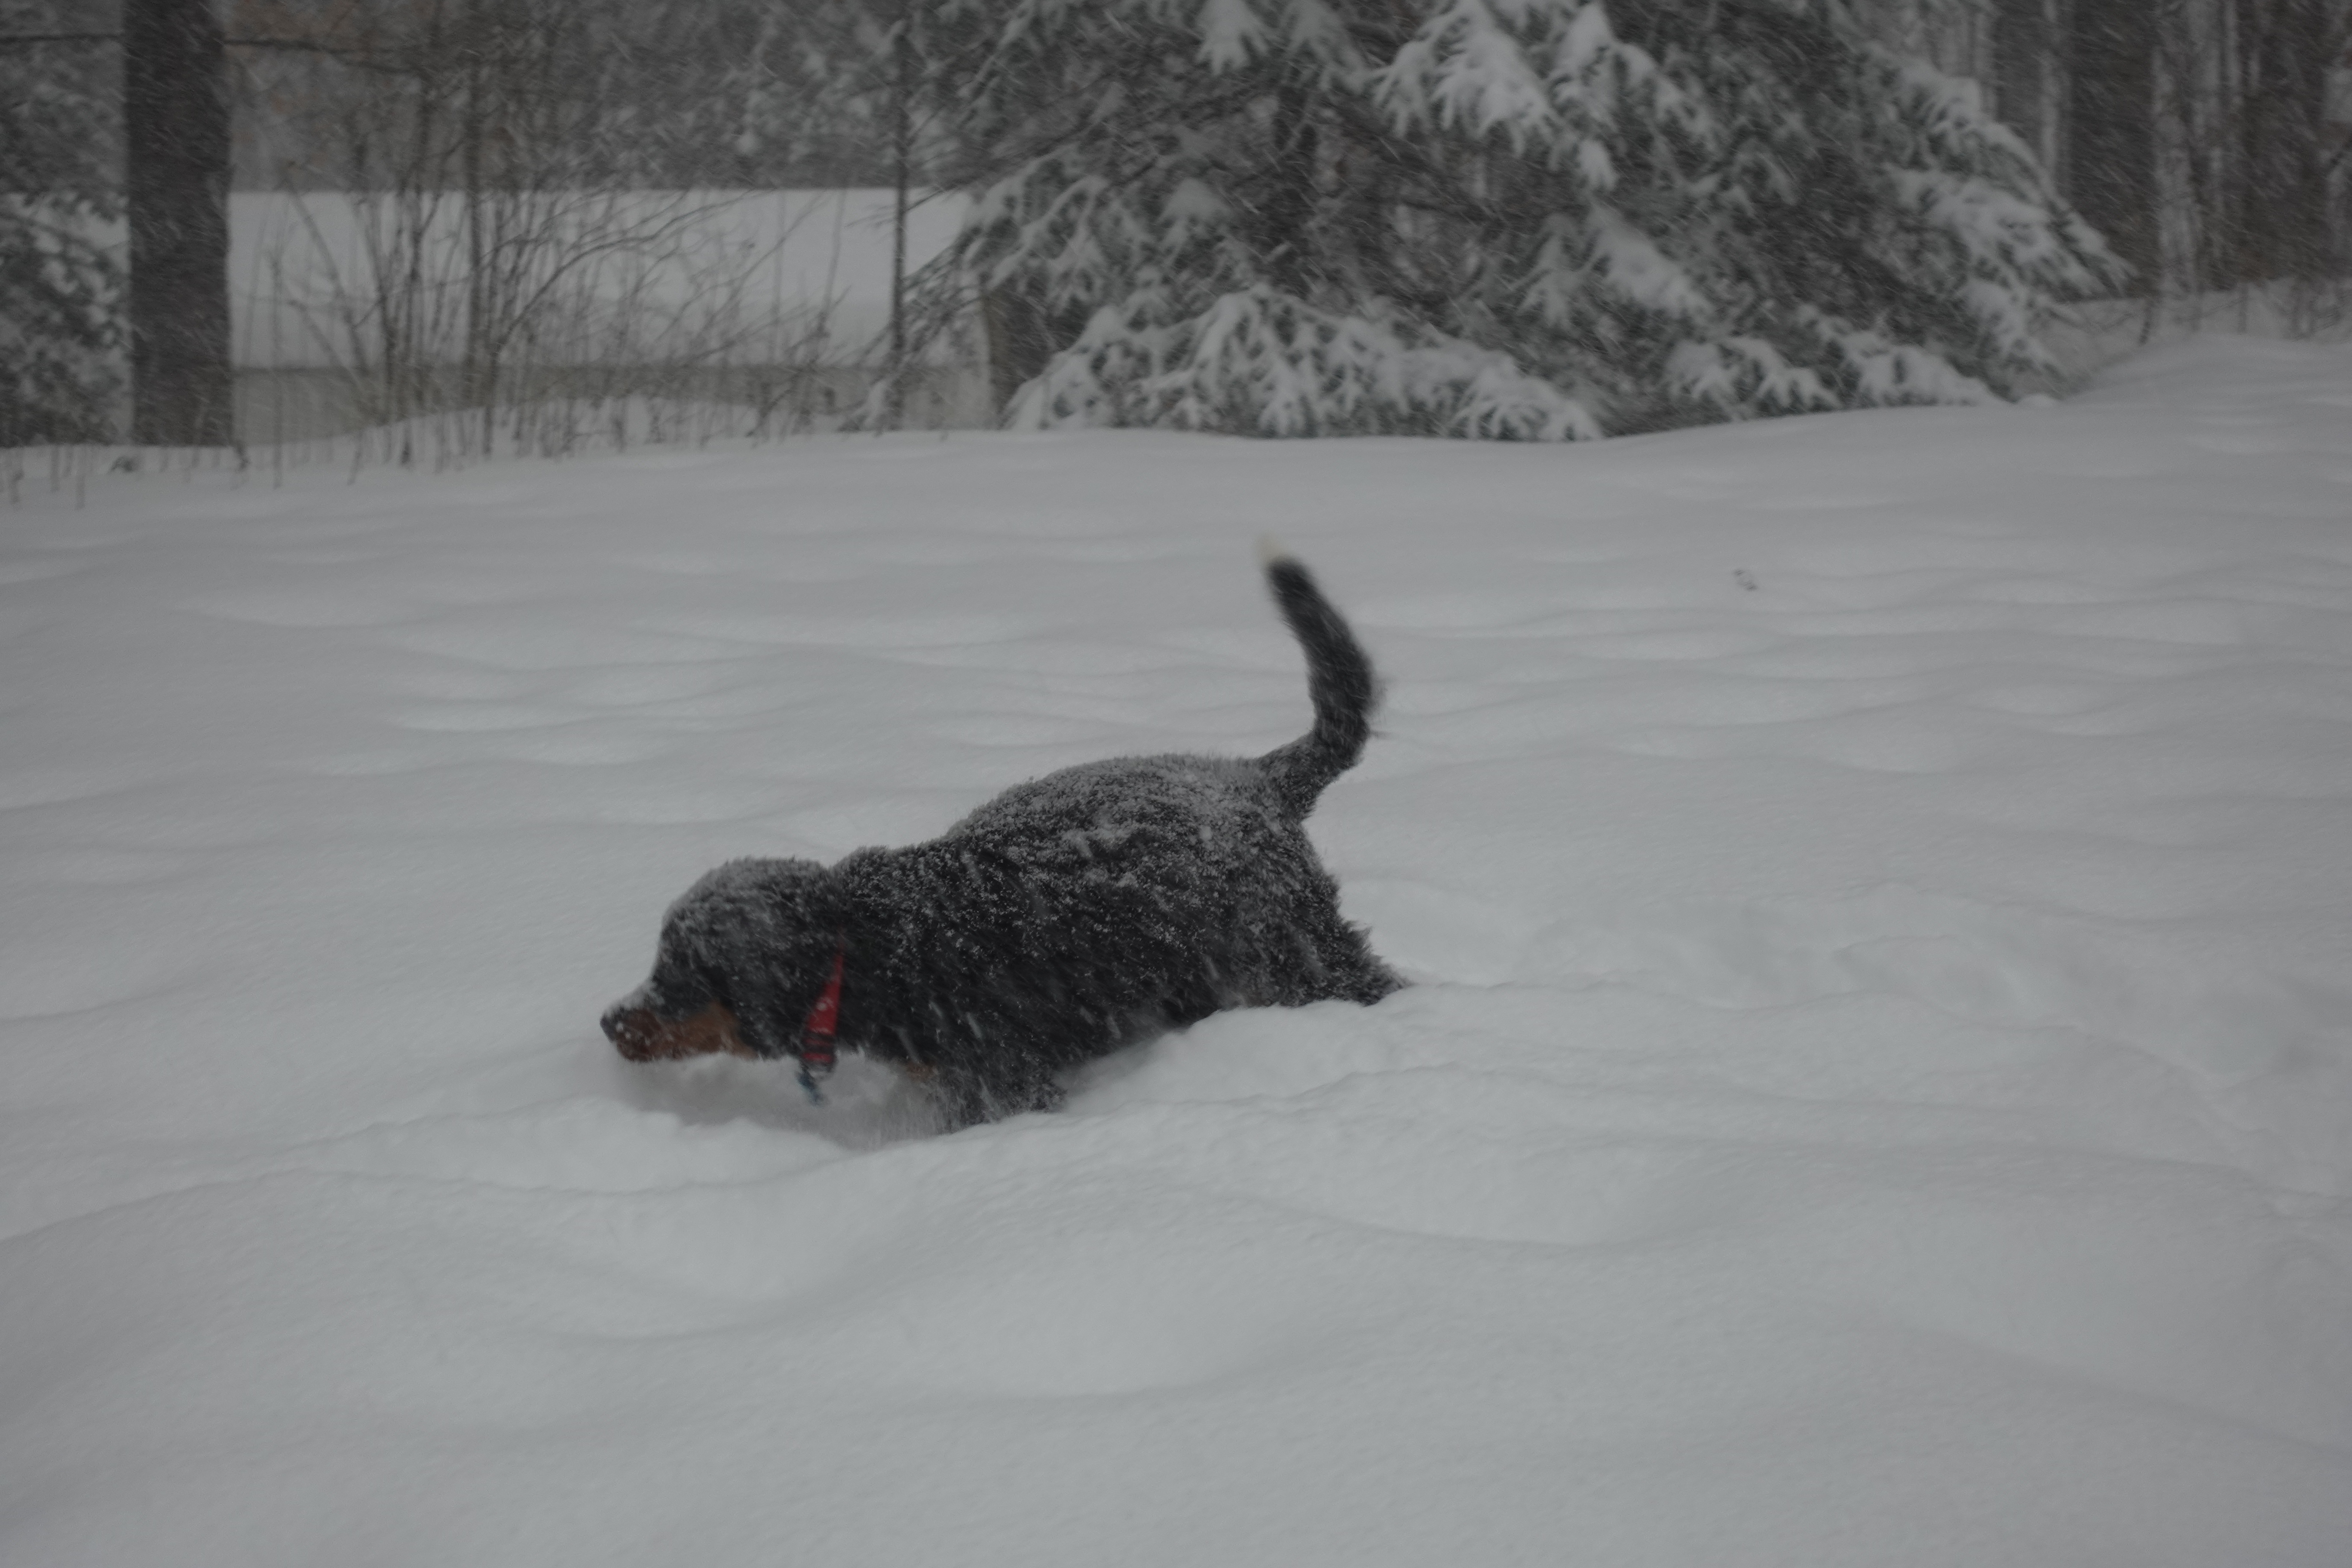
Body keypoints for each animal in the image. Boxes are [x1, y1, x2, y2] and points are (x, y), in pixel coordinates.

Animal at [601, 553, 1401, 1130]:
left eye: (681, 971)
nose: (610, 1021)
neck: (877, 946)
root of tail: (1257, 777)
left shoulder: (997, 1083)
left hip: (1296, 954)